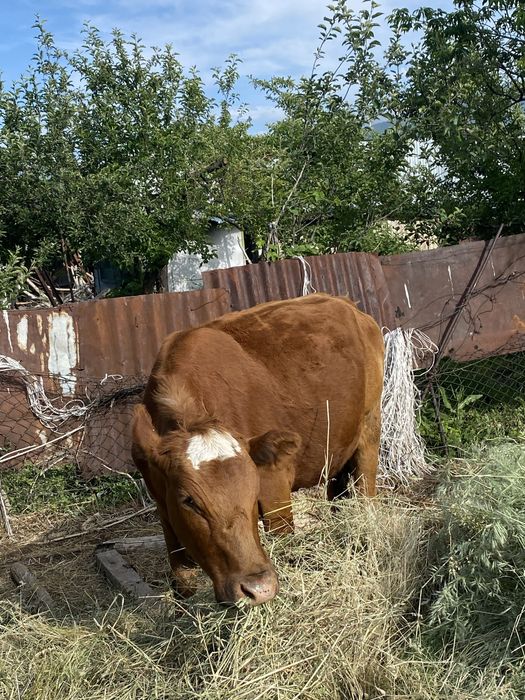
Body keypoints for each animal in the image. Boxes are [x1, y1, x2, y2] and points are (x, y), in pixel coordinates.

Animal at [131, 294, 384, 606]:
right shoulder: (164, 509)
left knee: (365, 493)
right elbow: (183, 579)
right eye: (189, 501)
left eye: (253, 490)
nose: (258, 587)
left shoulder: (275, 480)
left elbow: (284, 540)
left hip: (370, 427)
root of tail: (346, 304)